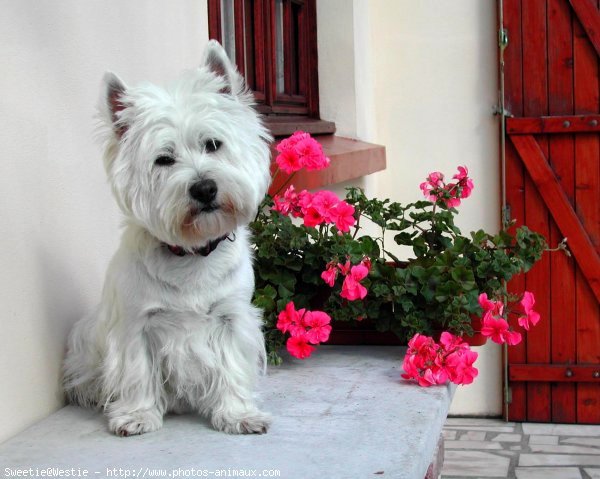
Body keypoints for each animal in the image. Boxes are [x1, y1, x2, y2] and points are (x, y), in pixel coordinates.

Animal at [62, 41, 272, 438]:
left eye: (213, 144)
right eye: (163, 159)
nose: (204, 188)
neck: (192, 254)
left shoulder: (232, 317)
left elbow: (232, 366)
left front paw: (238, 415)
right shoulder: (135, 325)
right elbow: (137, 372)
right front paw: (137, 415)